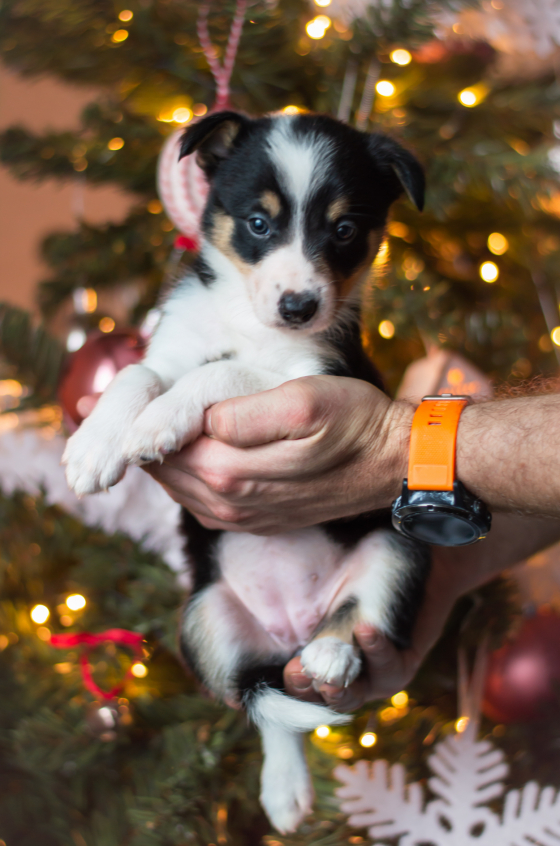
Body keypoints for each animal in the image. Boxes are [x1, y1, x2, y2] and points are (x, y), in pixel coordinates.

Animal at [63, 110, 430, 833]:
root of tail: (292, 631)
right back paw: (284, 789)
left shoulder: (313, 377)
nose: (299, 307)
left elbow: (223, 374)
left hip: (399, 548)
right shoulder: (175, 344)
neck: (249, 321)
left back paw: (333, 652)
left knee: (357, 617)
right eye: (259, 223)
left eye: (345, 229)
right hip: (203, 617)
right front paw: (97, 445)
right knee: (259, 704)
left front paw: (157, 423)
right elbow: (137, 372)